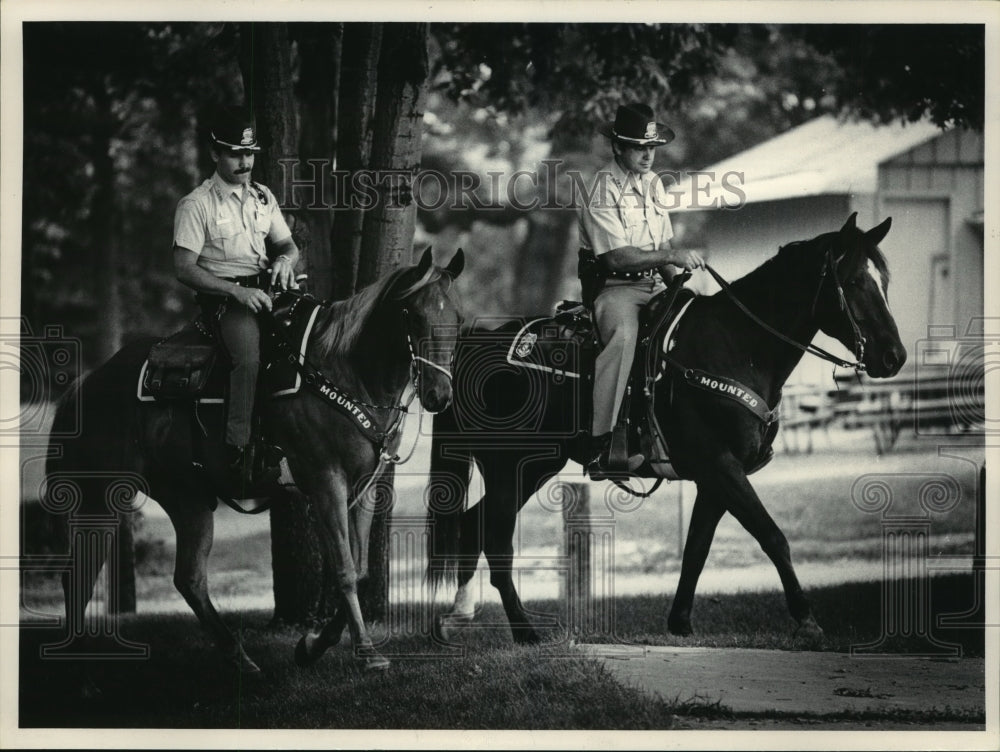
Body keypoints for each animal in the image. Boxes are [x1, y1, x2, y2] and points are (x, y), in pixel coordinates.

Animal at [46, 250, 464, 672]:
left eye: (458, 319)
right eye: (413, 315)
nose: (440, 394)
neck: (344, 373)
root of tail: (86, 383)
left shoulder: (365, 486)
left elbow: (360, 570)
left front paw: (312, 645)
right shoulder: (325, 480)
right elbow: (345, 570)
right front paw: (365, 653)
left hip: (186, 498)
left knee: (188, 578)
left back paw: (239, 657)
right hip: (100, 498)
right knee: (79, 575)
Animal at [424, 214, 908, 644]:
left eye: (885, 281)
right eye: (854, 282)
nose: (894, 357)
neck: (737, 345)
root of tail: (469, 347)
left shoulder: (715, 477)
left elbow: (697, 548)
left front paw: (680, 622)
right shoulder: (722, 466)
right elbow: (772, 536)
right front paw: (806, 619)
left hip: (532, 468)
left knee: (471, 525)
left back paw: (457, 619)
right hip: (510, 466)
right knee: (494, 539)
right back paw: (523, 631)